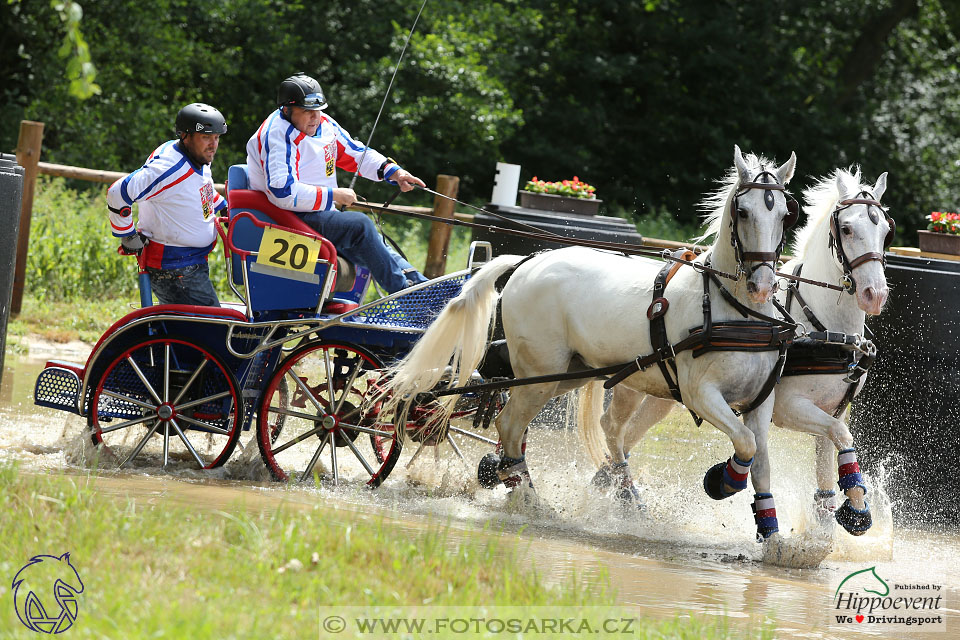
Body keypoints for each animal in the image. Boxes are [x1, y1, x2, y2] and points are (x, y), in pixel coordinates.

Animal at [378, 148, 800, 532]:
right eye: (742, 212)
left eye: (785, 214)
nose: (763, 285)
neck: (736, 312)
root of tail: (527, 261)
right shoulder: (700, 394)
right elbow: (744, 444)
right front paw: (723, 480)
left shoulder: (759, 401)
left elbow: (759, 459)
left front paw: (775, 540)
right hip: (539, 376)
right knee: (511, 426)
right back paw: (530, 500)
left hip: (566, 374)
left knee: (548, 427)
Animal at [580, 166, 896, 540]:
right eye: (846, 228)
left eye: (886, 231)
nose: (874, 293)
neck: (822, 326)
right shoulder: (788, 407)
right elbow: (838, 436)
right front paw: (853, 510)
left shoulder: (836, 409)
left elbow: (830, 456)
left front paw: (844, 514)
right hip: (635, 384)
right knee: (613, 427)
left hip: (665, 394)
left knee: (628, 433)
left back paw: (608, 484)